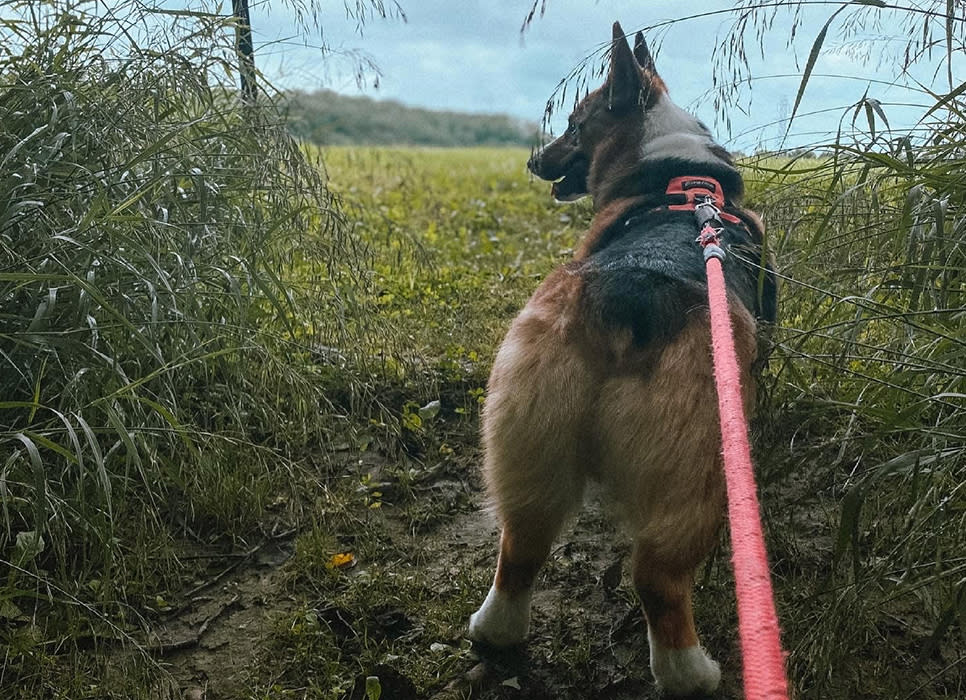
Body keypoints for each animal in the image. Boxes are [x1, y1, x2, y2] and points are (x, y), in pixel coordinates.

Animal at [468, 20, 780, 696]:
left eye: (574, 125)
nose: (532, 161)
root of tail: (626, 295)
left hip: (528, 437)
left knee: (522, 544)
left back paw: (495, 632)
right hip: (701, 472)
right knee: (657, 579)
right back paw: (691, 673)